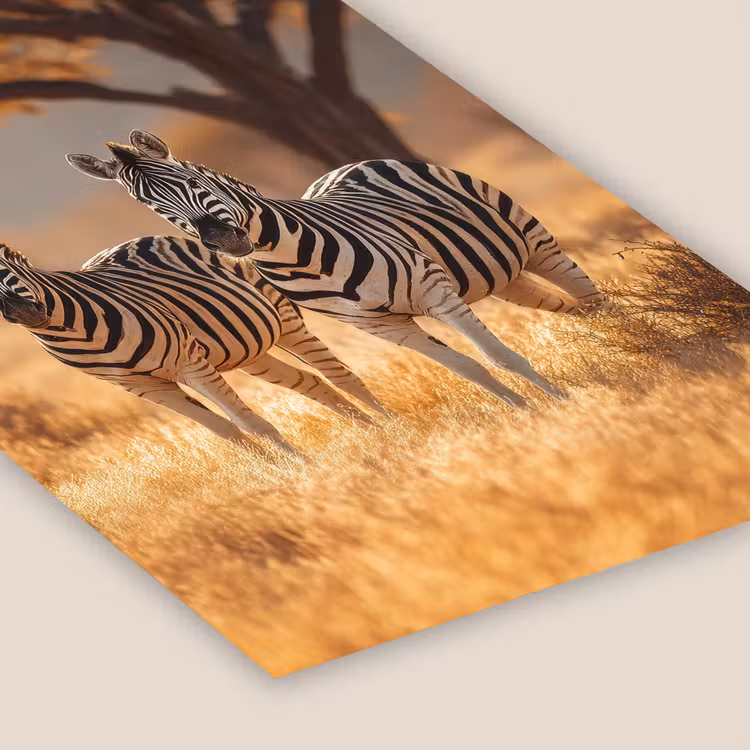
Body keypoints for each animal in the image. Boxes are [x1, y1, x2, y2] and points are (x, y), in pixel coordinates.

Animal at [0, 237, 382, 453]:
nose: (22, 313)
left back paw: (387, 426)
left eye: (9, 265)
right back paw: (366, 429)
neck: (76, 329)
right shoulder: (144, 388)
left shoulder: (187, 361)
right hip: (243, 350)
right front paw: (274, 470)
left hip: (281, 316)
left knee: (338, 373)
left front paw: (297, 469)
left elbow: (248, 422)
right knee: (310, 381)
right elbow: (225, 431)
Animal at [66, 131, 606, 407]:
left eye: (189, 181)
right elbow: (469, 367)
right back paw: (608, 352)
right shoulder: (381, 326)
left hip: (529, 238)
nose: (223, 241)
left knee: (589, 295)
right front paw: (526, 412)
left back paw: (627, 340)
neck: (293, 256)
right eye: (151, 205)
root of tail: (343, 167)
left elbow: (499, 356)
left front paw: (561, 406)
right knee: (564, 306)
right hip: (488, 273)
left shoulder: (432, 290)